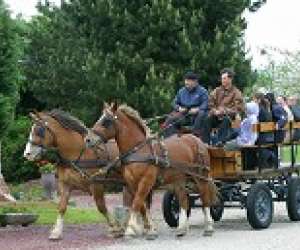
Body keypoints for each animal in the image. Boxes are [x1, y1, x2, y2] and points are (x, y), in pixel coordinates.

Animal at [22, 110, 123, 240]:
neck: (76, 152)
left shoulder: (97, 184)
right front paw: (56, 232)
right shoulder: (65, 184)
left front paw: (115, 228)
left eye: (39, 130)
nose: (27, 154)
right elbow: (62, 206)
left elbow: (101, 207)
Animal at [84, 102, 218, 237]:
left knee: (205, 198)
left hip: (201, 177)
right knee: (184, 199)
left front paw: (131, 229)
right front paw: (149, 229)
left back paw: (208, 227)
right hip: (179, 179)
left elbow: (137, 202)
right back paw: (181, 229)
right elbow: (142, 205)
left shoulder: (146, 181)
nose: (88, 139)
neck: (139, 150)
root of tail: (197, 140)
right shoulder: (131, 183)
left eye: (106, 121)